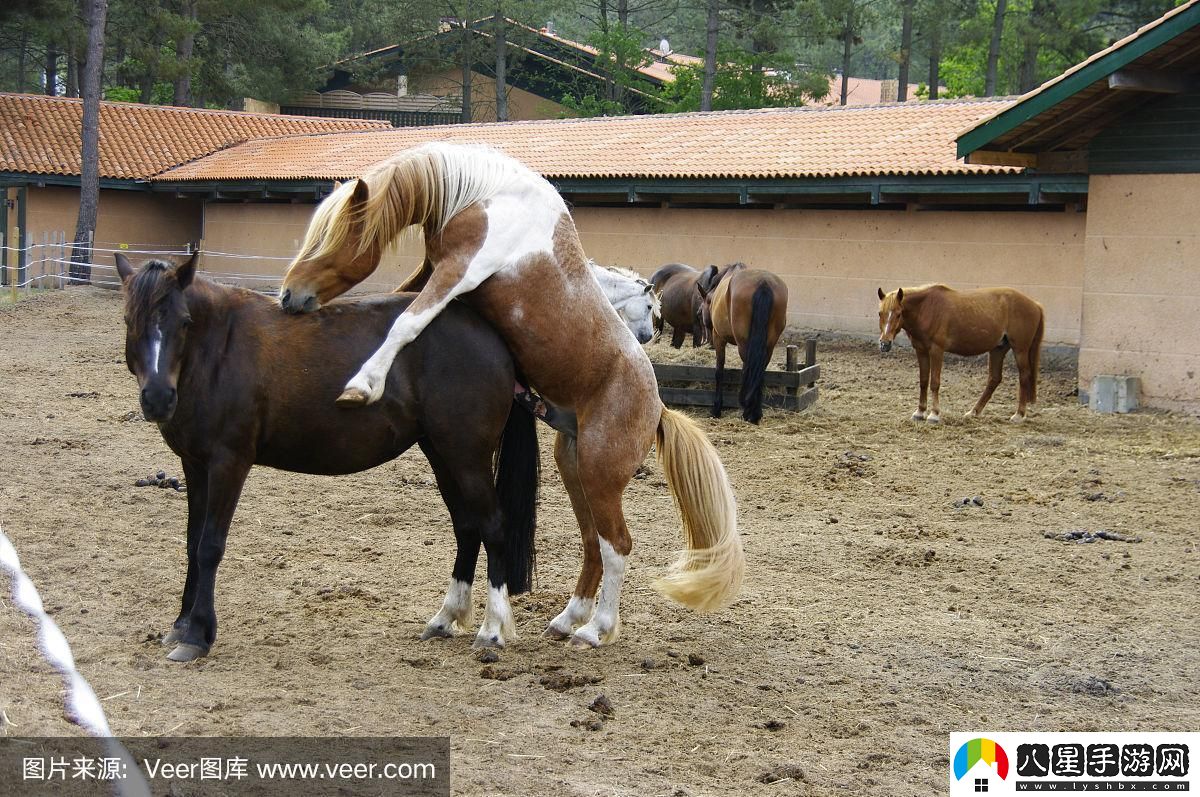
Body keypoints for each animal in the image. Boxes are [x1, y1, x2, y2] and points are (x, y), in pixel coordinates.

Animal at [117, 253, 540, 657]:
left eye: (184, 321)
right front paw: (181, 625)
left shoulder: (227, 464)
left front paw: (198, 635)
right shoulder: (194, 464)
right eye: (129, 319)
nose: (158, 398)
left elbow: (209, 546)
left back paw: (492, 630)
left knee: (493, 527)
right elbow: (192, 542)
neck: (218, 349)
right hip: (442, 454)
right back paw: (445, 618)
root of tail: (493, 337)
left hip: (467, 457)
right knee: (467, 528)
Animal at [278, 143, 739, 652]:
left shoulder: (456, 273)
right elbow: (399, 301)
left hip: (600, 474)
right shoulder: (431, 270)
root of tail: (657, 407)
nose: (288, 296)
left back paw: (596, 630)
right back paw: (567, 620)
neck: (484, 197)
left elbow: (407, 321)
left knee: (617, 545)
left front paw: (363, 384)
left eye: (332, 236)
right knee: (593, 543)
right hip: (575, 468)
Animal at [700, 262, 792, 427]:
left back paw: (749, 412)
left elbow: (719, 371)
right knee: (758, 371)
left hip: (743, 344)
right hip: (768, 345)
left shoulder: (719, 338)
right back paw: (754, 412)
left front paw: (717, 409)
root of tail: (763, 282)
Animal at [878, 284, 1046, 422]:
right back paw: (974, 412)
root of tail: (1035, 304)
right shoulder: (921, 350)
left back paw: (1019, 415)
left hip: (1020, 349)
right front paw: (919, 412)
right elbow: (923, 381)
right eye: (880, 313)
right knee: (994, 379)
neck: (927, 308)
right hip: (998, 349)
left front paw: (934, 414)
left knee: (1024, 376)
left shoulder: (936, 350)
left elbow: (934, 382)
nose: (885, 343)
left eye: (899, 313)